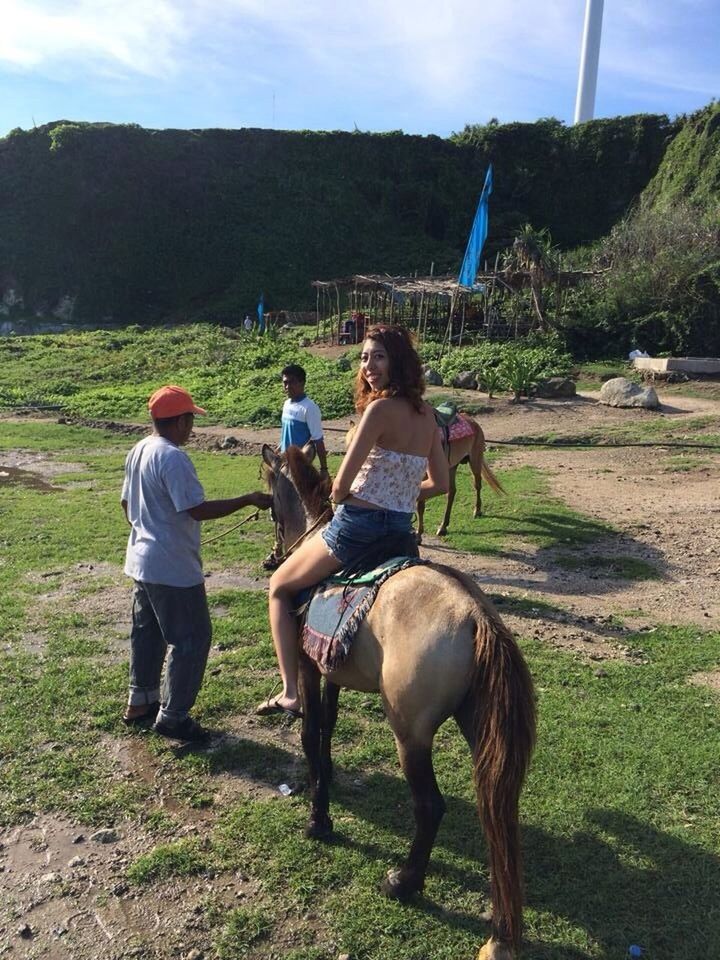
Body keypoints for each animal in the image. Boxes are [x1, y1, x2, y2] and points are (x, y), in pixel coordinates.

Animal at [258, 444, 536, 960]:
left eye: (270, 505)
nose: (272, 559)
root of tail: (475, 616)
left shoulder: (308, 667)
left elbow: (308, 732)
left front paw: (318, 819)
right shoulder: (332, 669)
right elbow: (326, 728)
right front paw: (323, 782)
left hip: (410, 734)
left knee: (430, 807)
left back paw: (404, 882)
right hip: (481, 730)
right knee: (498, 813)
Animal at [416, 416, 506, 544]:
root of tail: (473, 422)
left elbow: (420, 505)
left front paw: (418, 535)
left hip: (475, 461)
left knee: (477, 485)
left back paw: (477, 511)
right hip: (451, 466)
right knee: (451, 492)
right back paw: (443, 527)